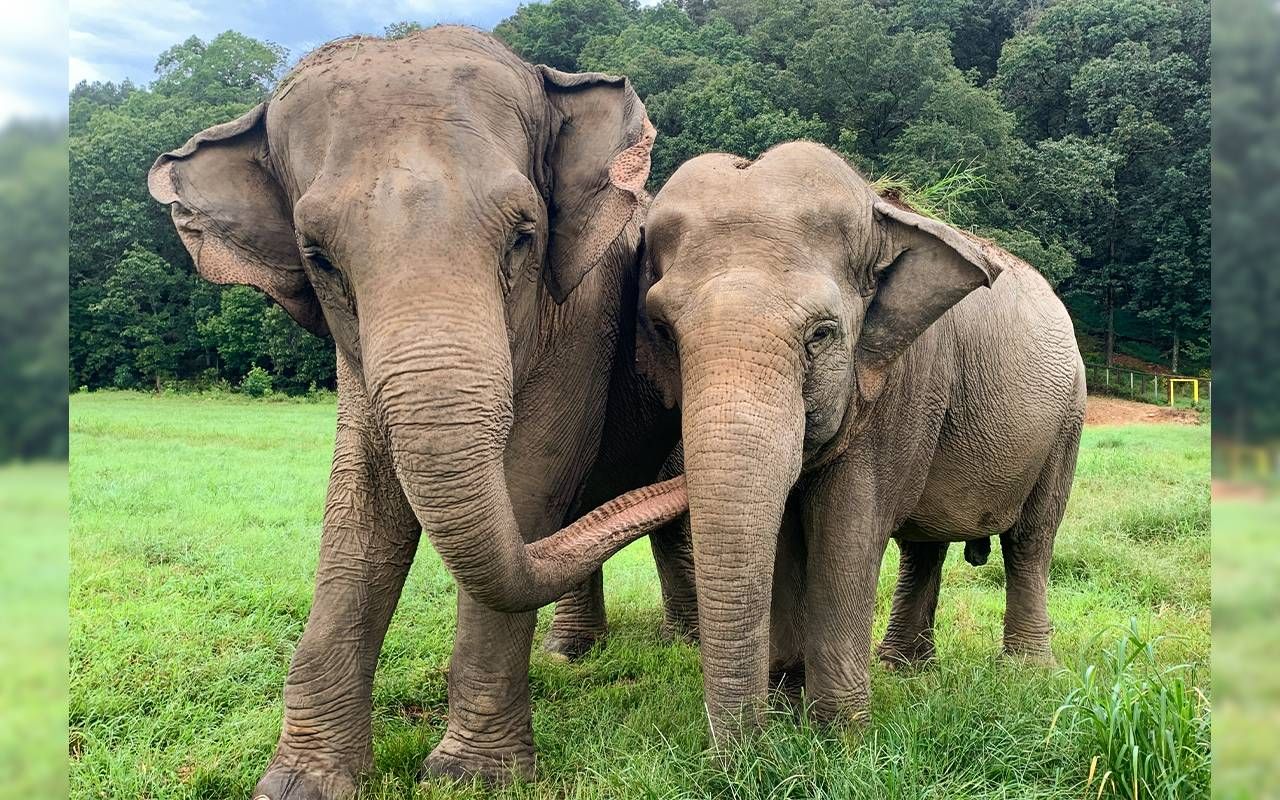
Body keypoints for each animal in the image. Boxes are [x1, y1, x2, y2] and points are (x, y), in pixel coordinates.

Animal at [147, 24, 691, 798]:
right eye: (319, 256)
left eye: (524, 235)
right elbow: (363, 500)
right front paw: (300, 782)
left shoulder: (582, 309)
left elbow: (533, 476)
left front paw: (472, 779)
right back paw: (568, 655)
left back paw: (682, 644)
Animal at [634, 142, 1085, 737]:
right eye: (663, 331)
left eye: (822, 334)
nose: (750, 749)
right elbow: (785, 535)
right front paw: (790, 706)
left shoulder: (905, 385)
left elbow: (846, 531)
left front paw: (839, 734)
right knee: (924, 547)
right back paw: (904, 668)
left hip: (1066, 420)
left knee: (1031, 539)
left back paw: (1026, 671)